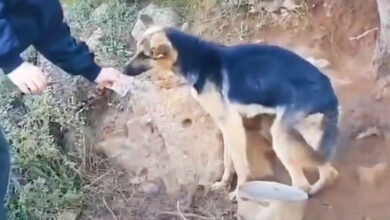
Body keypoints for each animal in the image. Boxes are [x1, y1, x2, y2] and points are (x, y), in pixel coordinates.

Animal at [123, 14, 340, 199]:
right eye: (137, 52)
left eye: (145, 55)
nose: (123, 71)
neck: (198, 61)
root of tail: (328, 86)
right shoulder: (226, 125)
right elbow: (228, 160)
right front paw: (223, 183)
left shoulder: (232, 125)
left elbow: (240, 164)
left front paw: (239, 191)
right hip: (310, 134)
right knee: (329, 169)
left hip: (280, 137)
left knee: (303, 184)